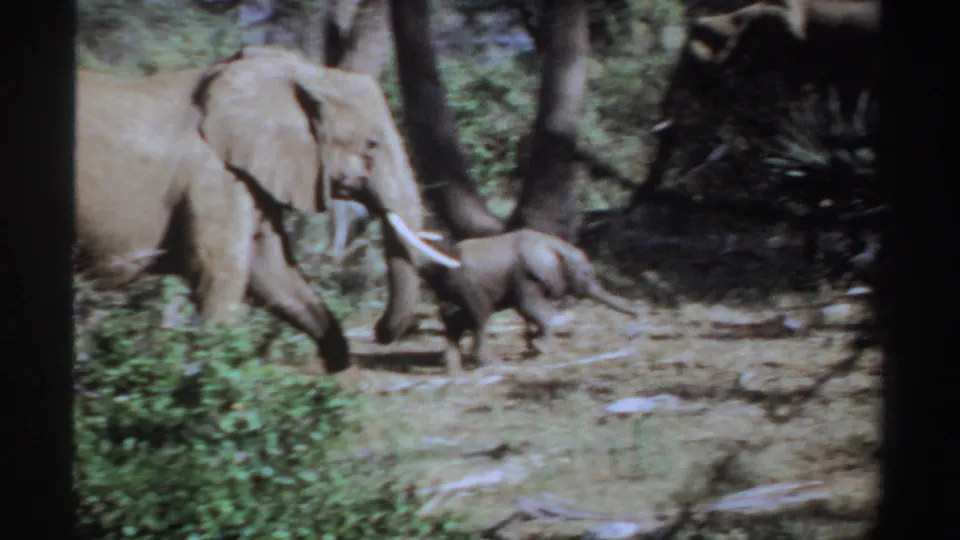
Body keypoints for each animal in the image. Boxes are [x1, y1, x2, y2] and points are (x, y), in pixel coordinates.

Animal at [75, 45, 462, 374]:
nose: (380, 331)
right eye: (372, 144)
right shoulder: (213, 176)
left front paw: (340, 375)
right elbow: (222, 271)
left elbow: (272, 271)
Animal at [418, 229, 642, 373]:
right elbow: (530, 308)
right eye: (587, 274)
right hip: (469, 288)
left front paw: (533, 345)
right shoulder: (526, 274)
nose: (638, 316)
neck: (554, 244)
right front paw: (541, 348)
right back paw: (493, 365)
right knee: (478, 319)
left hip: (451, 292)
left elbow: (529, 312)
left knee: (455, 323)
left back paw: (453, 370)